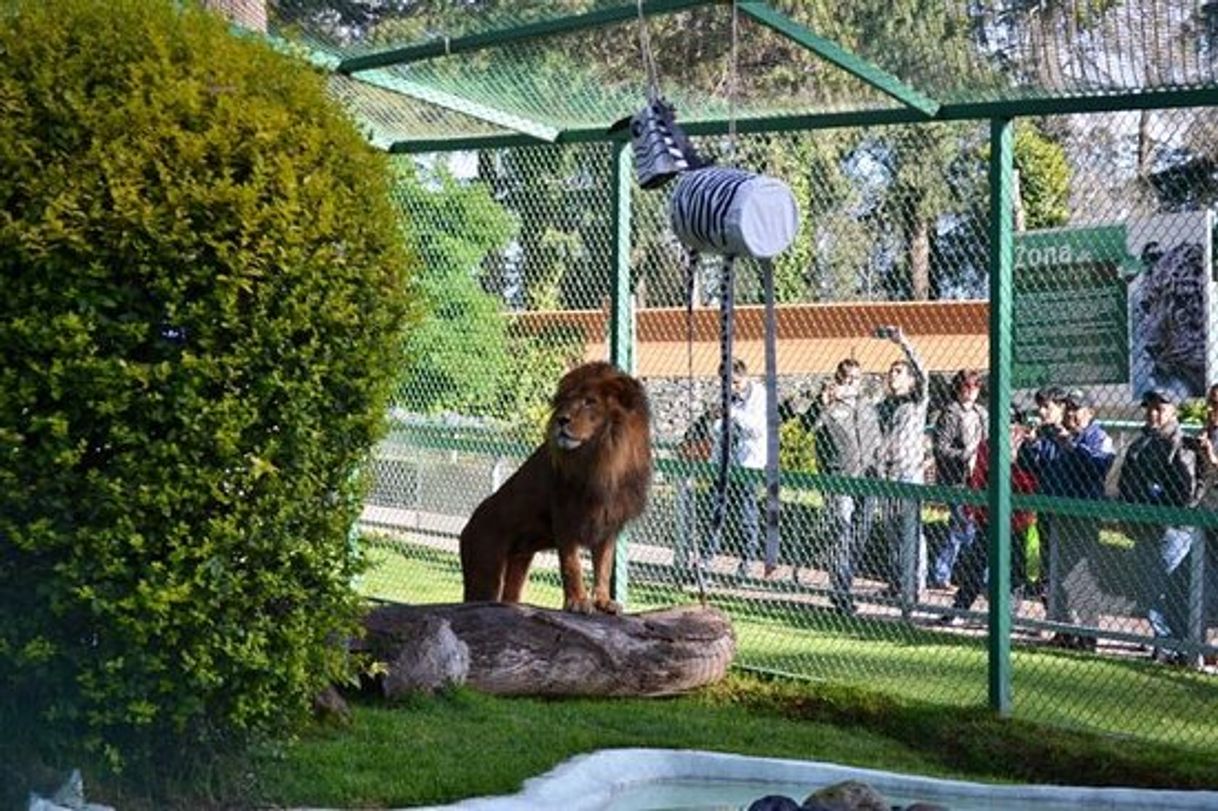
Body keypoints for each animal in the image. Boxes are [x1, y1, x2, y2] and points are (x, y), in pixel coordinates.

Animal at [457, 360, 652, 613]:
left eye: (590, 401)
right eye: (565, 401)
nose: (561, 419)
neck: (602, 459)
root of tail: (467, 526)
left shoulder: (608, 523)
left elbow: (604, 566)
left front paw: (603, 602)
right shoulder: (564, 518)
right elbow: (572, 565)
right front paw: (577, 602)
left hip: (518, 565)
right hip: (486, 571)